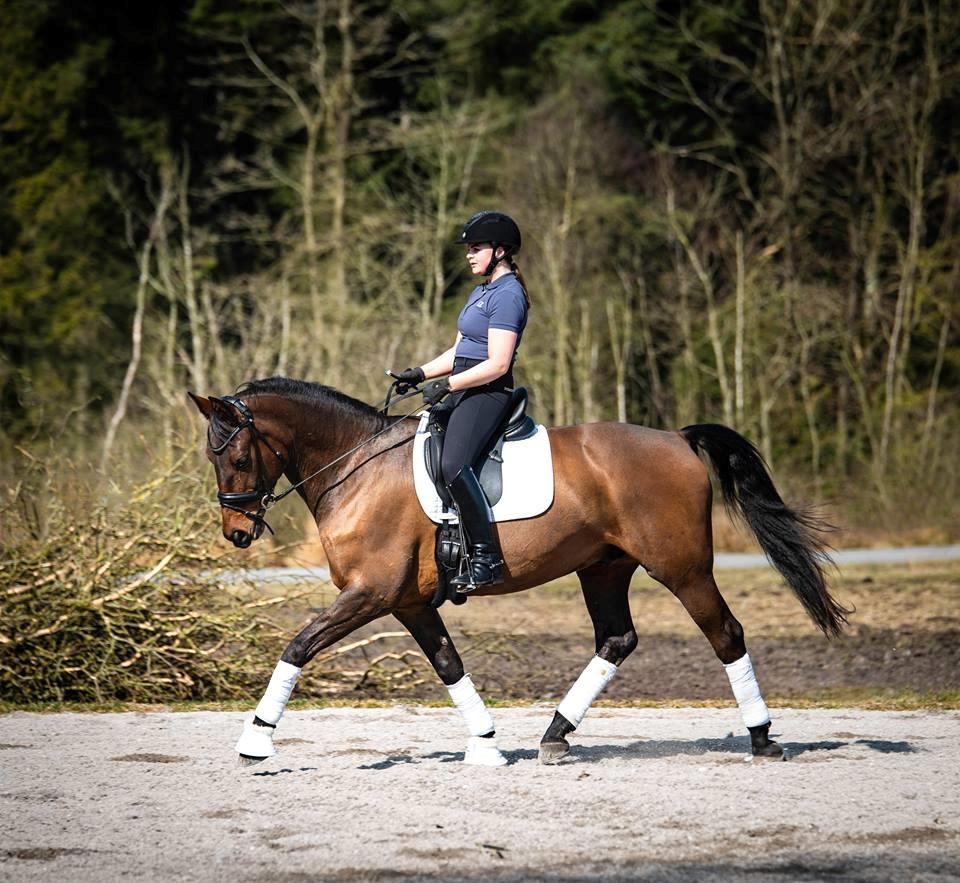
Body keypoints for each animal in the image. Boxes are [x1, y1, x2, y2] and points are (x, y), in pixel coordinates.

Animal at [188, 378, 848, 768]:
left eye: (239, 455)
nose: (237, 533)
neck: (358, 468)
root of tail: (677, 439)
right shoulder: (406, 602)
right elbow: (448, 663)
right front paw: (485, 745)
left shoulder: (369, 593)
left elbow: (298, 645)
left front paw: (255, 741)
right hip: (603, 569)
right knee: (617, 639)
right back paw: (554, 736)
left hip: (683, 569)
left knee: (726, 635)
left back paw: (761, 739)